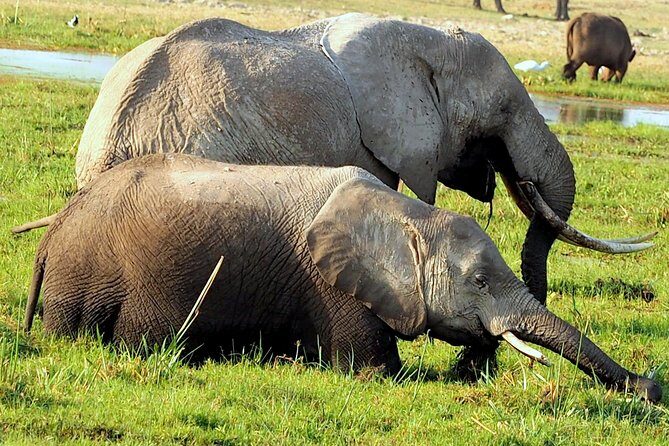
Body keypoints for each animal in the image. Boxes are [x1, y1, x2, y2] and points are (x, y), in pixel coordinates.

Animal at [23, 154, 661, 403]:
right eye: (479, 281)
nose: (652, 389)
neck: (405, 217)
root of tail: (55, 231)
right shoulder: (339, 288)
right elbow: (377, 372)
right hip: (85, 283)